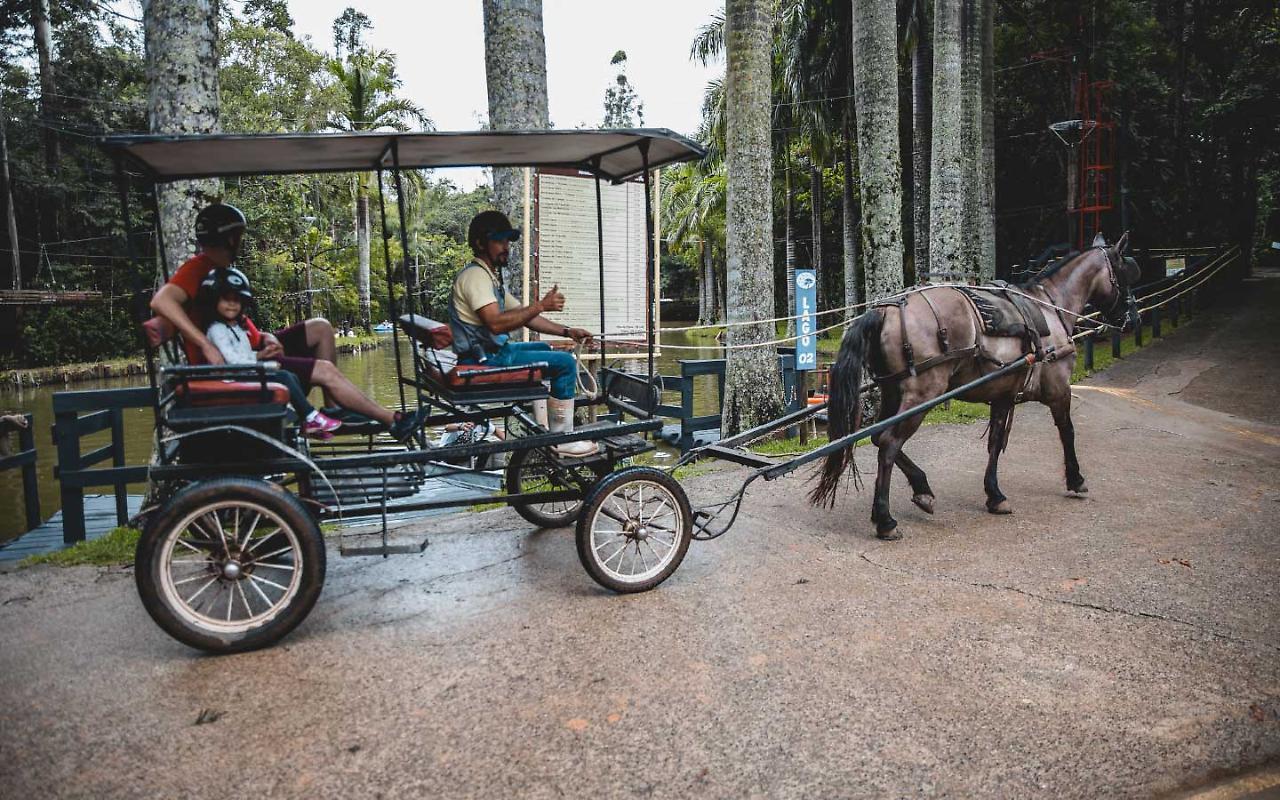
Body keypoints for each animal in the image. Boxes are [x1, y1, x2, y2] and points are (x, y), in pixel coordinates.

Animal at [808, 232, 1141, 542]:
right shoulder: (1059, 390)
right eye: (1125, 274)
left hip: (892, 390)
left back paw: (921, 487)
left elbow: (995, 442)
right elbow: (1067, 432)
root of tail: (886, 309)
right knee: (889, 443)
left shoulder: (1003, 395)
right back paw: (885, 519)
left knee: (879, 437)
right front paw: (1075, 478)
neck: (1051, 307)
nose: (1133, 319)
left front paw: (994, 494)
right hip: (922, 393)